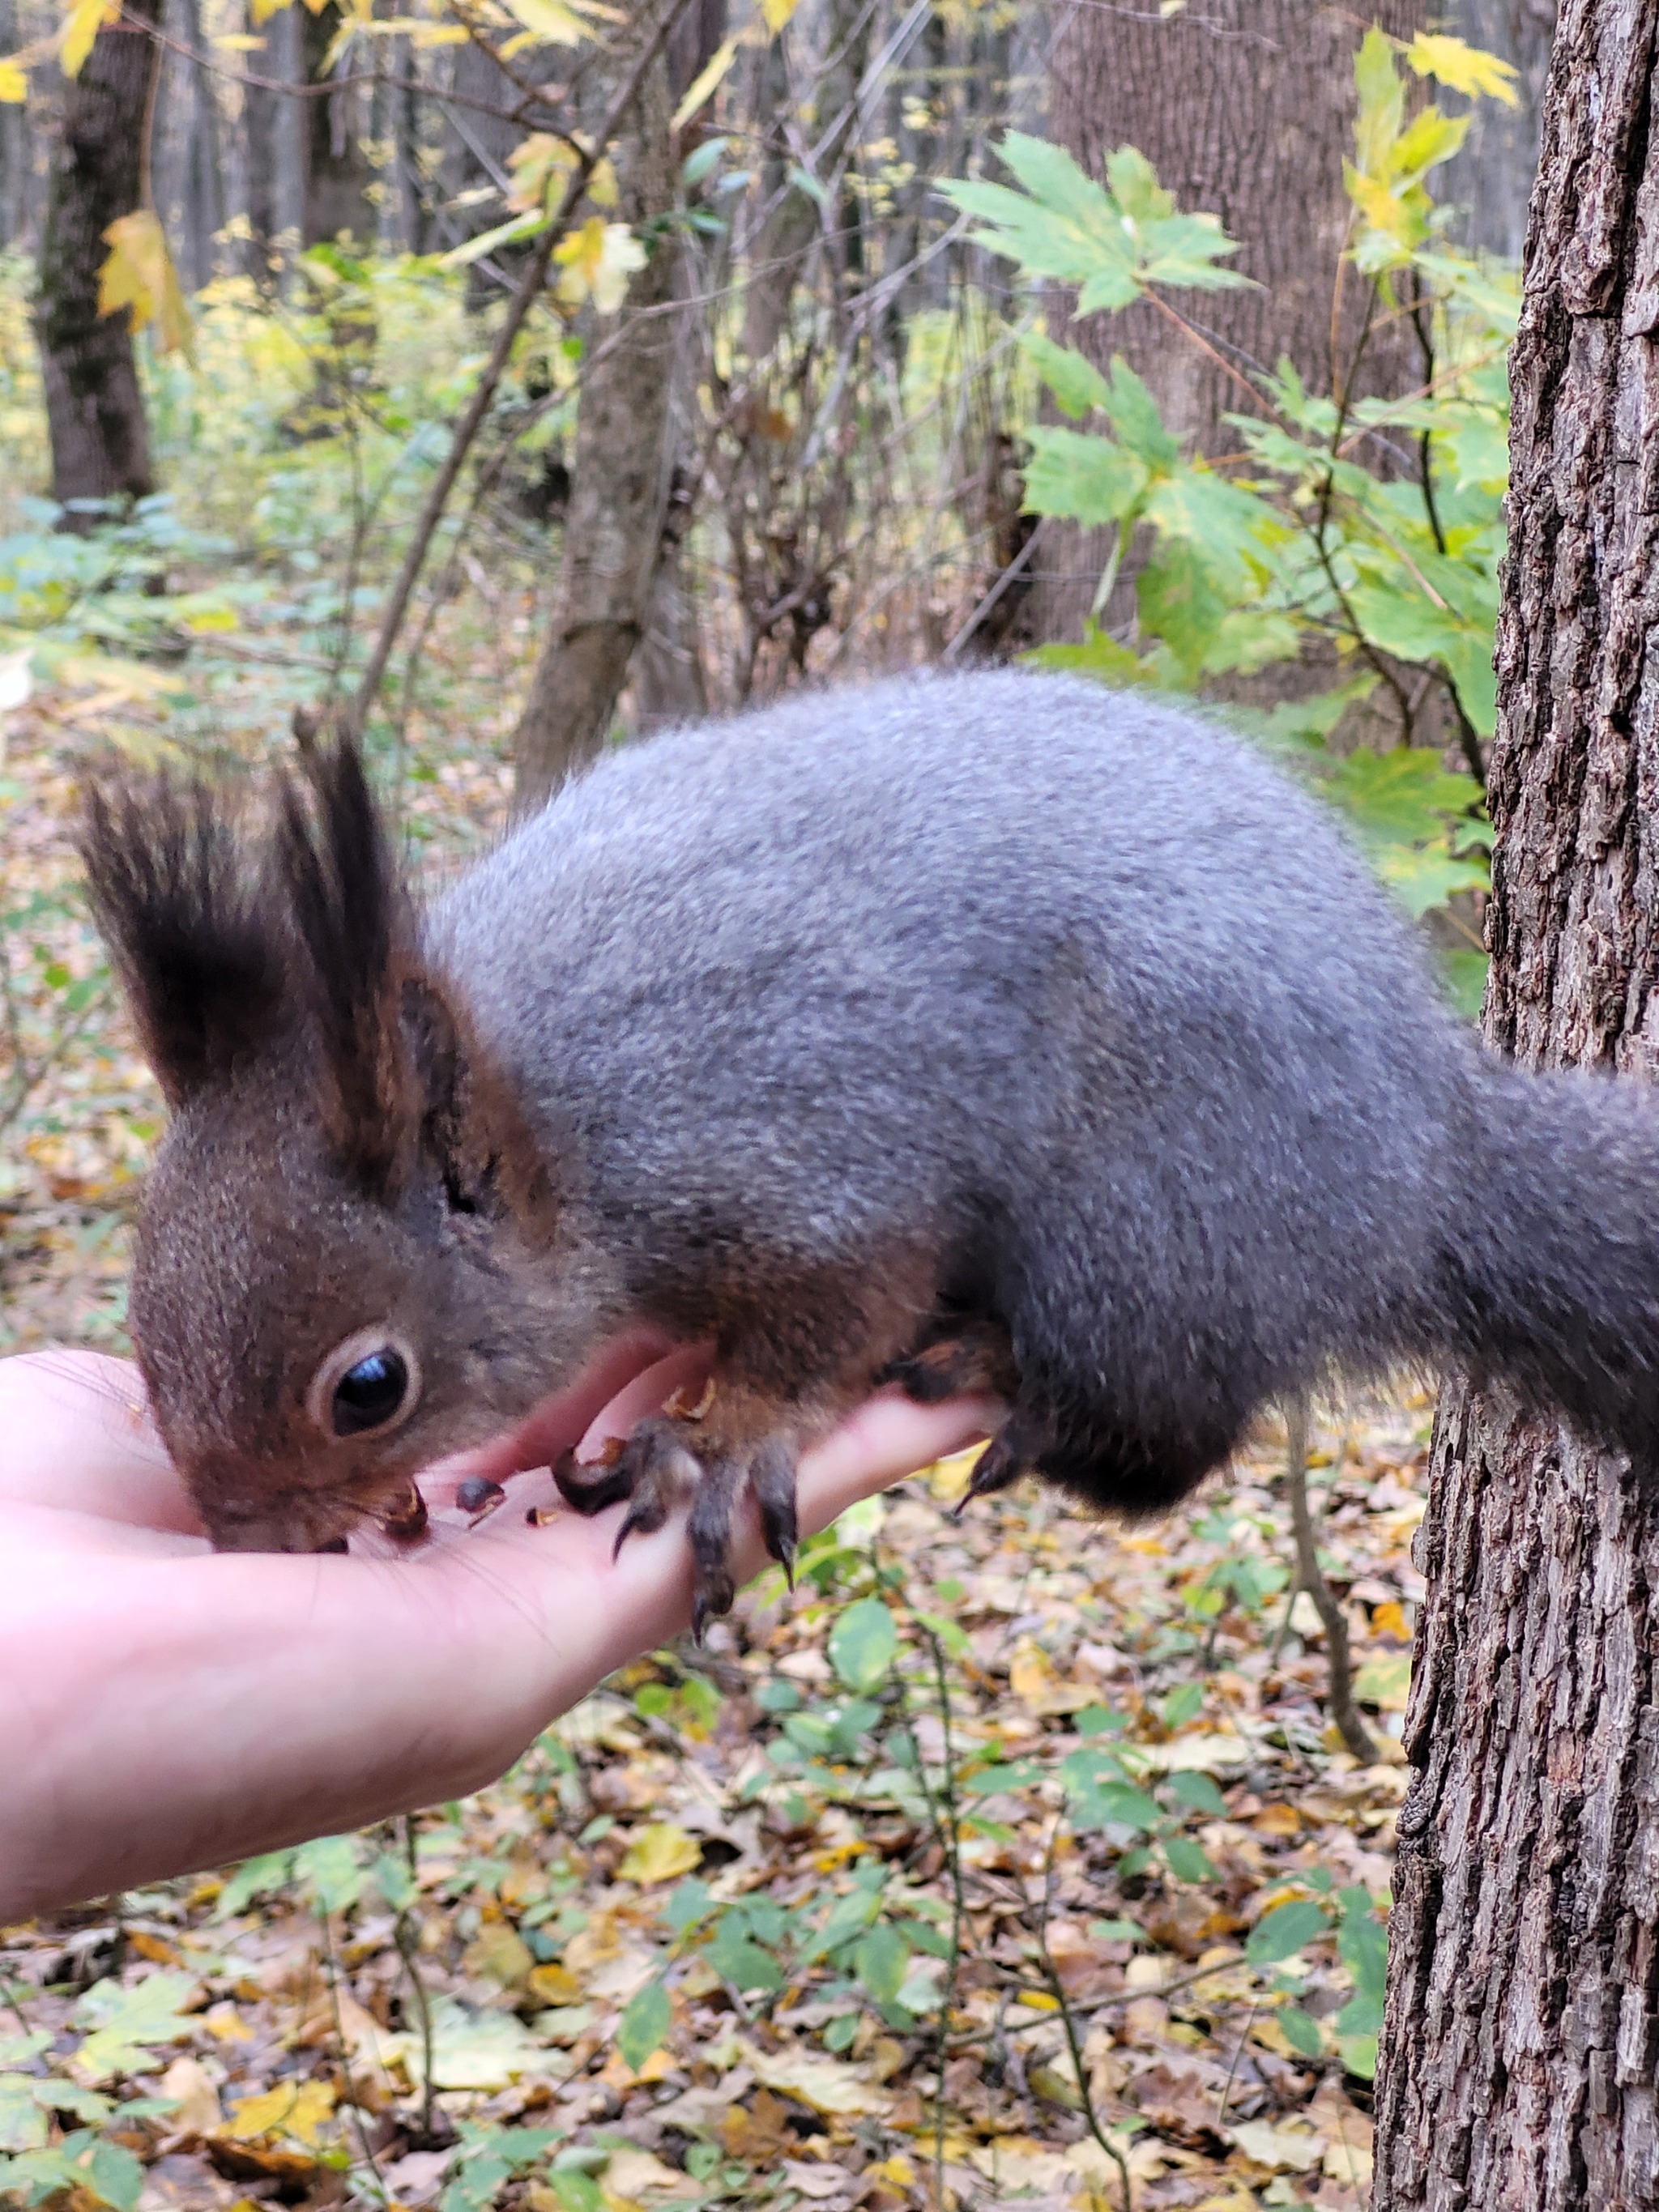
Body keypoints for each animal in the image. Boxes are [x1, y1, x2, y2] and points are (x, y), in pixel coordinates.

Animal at [84, 663, 1659, 1619]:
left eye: (368, 1386)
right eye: (142, 1308)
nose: (247, 1541)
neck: (556, 1115)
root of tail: (1425, 1146)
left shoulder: (809, 1159)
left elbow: (830, 1316)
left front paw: (714, 1440)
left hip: (1153, 1216)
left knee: (1164, 1434)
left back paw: (1003, 1368)